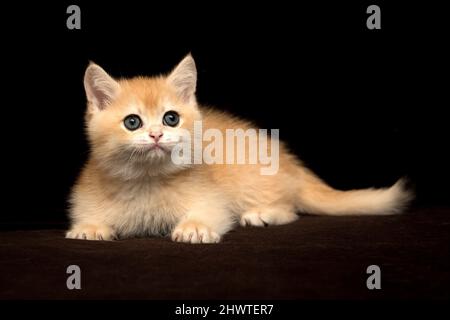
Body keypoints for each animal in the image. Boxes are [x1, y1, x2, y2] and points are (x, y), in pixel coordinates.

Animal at [65, 55, 414, 244]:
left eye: (171, 118)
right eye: (132, 122)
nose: (156, 134)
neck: (147, 180)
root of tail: (288, 161)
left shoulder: (213, 200)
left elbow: (211, 212)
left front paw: (195, 228)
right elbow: (90, 216)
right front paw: (89, 228)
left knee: (290, 208)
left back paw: (263, 214)